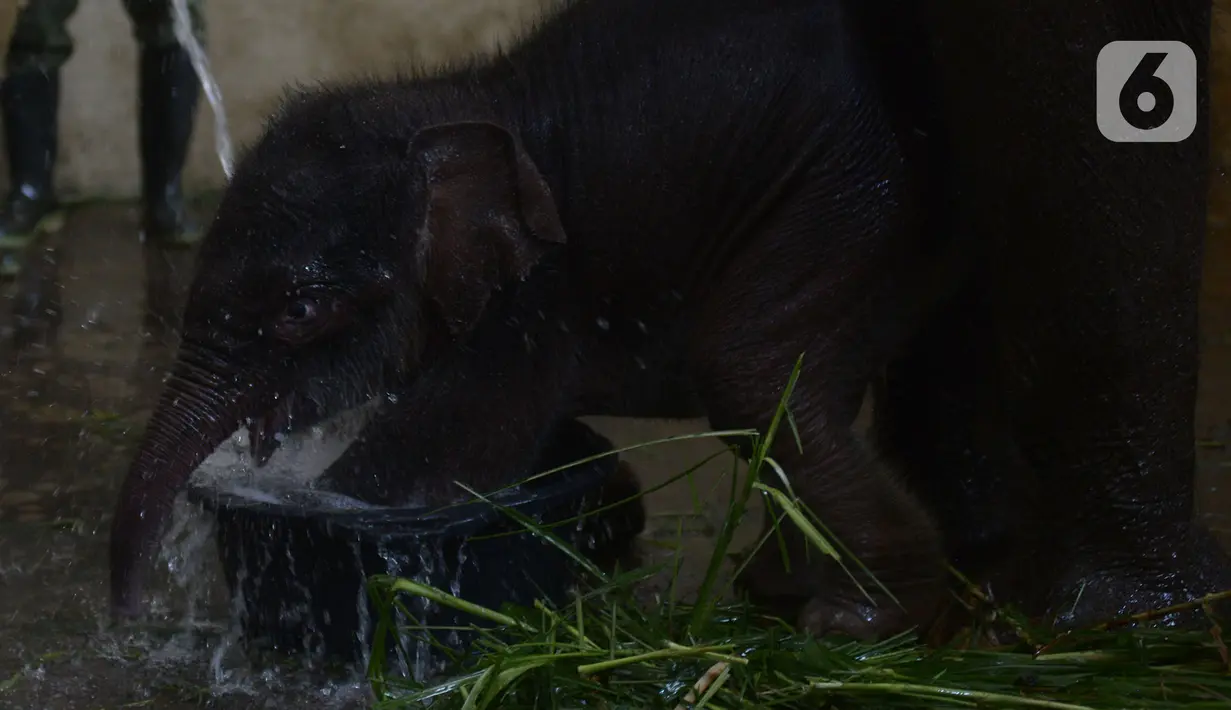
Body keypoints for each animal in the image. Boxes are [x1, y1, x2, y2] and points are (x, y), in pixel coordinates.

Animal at [108, 0, 1231, 641]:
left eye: (300, 310)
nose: (123, 625)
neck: (464, 94)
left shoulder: (534, 309)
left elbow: (418, 471)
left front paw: (335, 500)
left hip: (852, 193)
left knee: (751, 368)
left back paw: (856, 617)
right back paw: (787, 585)